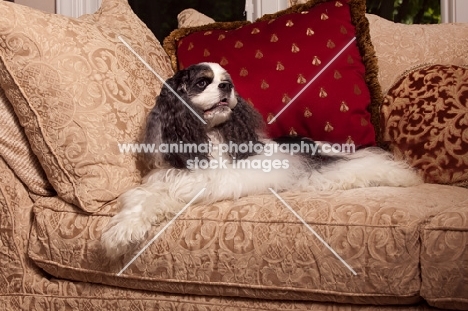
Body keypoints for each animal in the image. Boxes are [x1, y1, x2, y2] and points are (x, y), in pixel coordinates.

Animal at [100, 61, 422, 258]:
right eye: (203, 82)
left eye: (226, 81)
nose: (227, 87)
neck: (209, 136)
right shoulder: (165, 179)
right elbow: (140, 199)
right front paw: (122, 230)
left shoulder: (210, 183)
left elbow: (165, 198)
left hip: (328, 168)